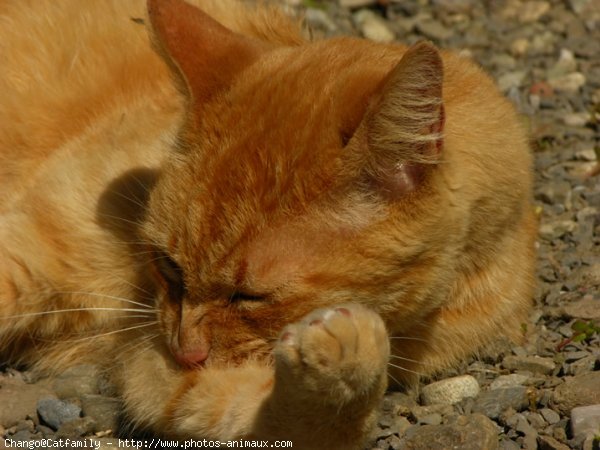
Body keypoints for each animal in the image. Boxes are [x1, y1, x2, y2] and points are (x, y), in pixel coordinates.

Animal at [0, 0, 536, 446]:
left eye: (249, 296)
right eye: (168, 265)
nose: (186, 352)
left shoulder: (164, 370)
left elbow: (293, 421)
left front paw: (344, 364)